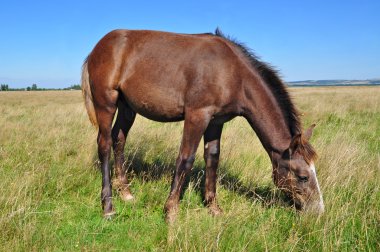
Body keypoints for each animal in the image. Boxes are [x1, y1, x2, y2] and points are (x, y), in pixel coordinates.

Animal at [80, 28, 324, 222]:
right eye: (303, 176)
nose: (318, 211)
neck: (233, 73)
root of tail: (98, 47)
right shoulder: (197, 116)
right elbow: (185, 159)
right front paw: (171, 211)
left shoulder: (215, 122)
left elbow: (212, 159)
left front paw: (214, 208)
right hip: (106, 103)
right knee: (104, 145)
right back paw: (108, 206)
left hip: (127, 107)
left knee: (119, 140)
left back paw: (126, 193)